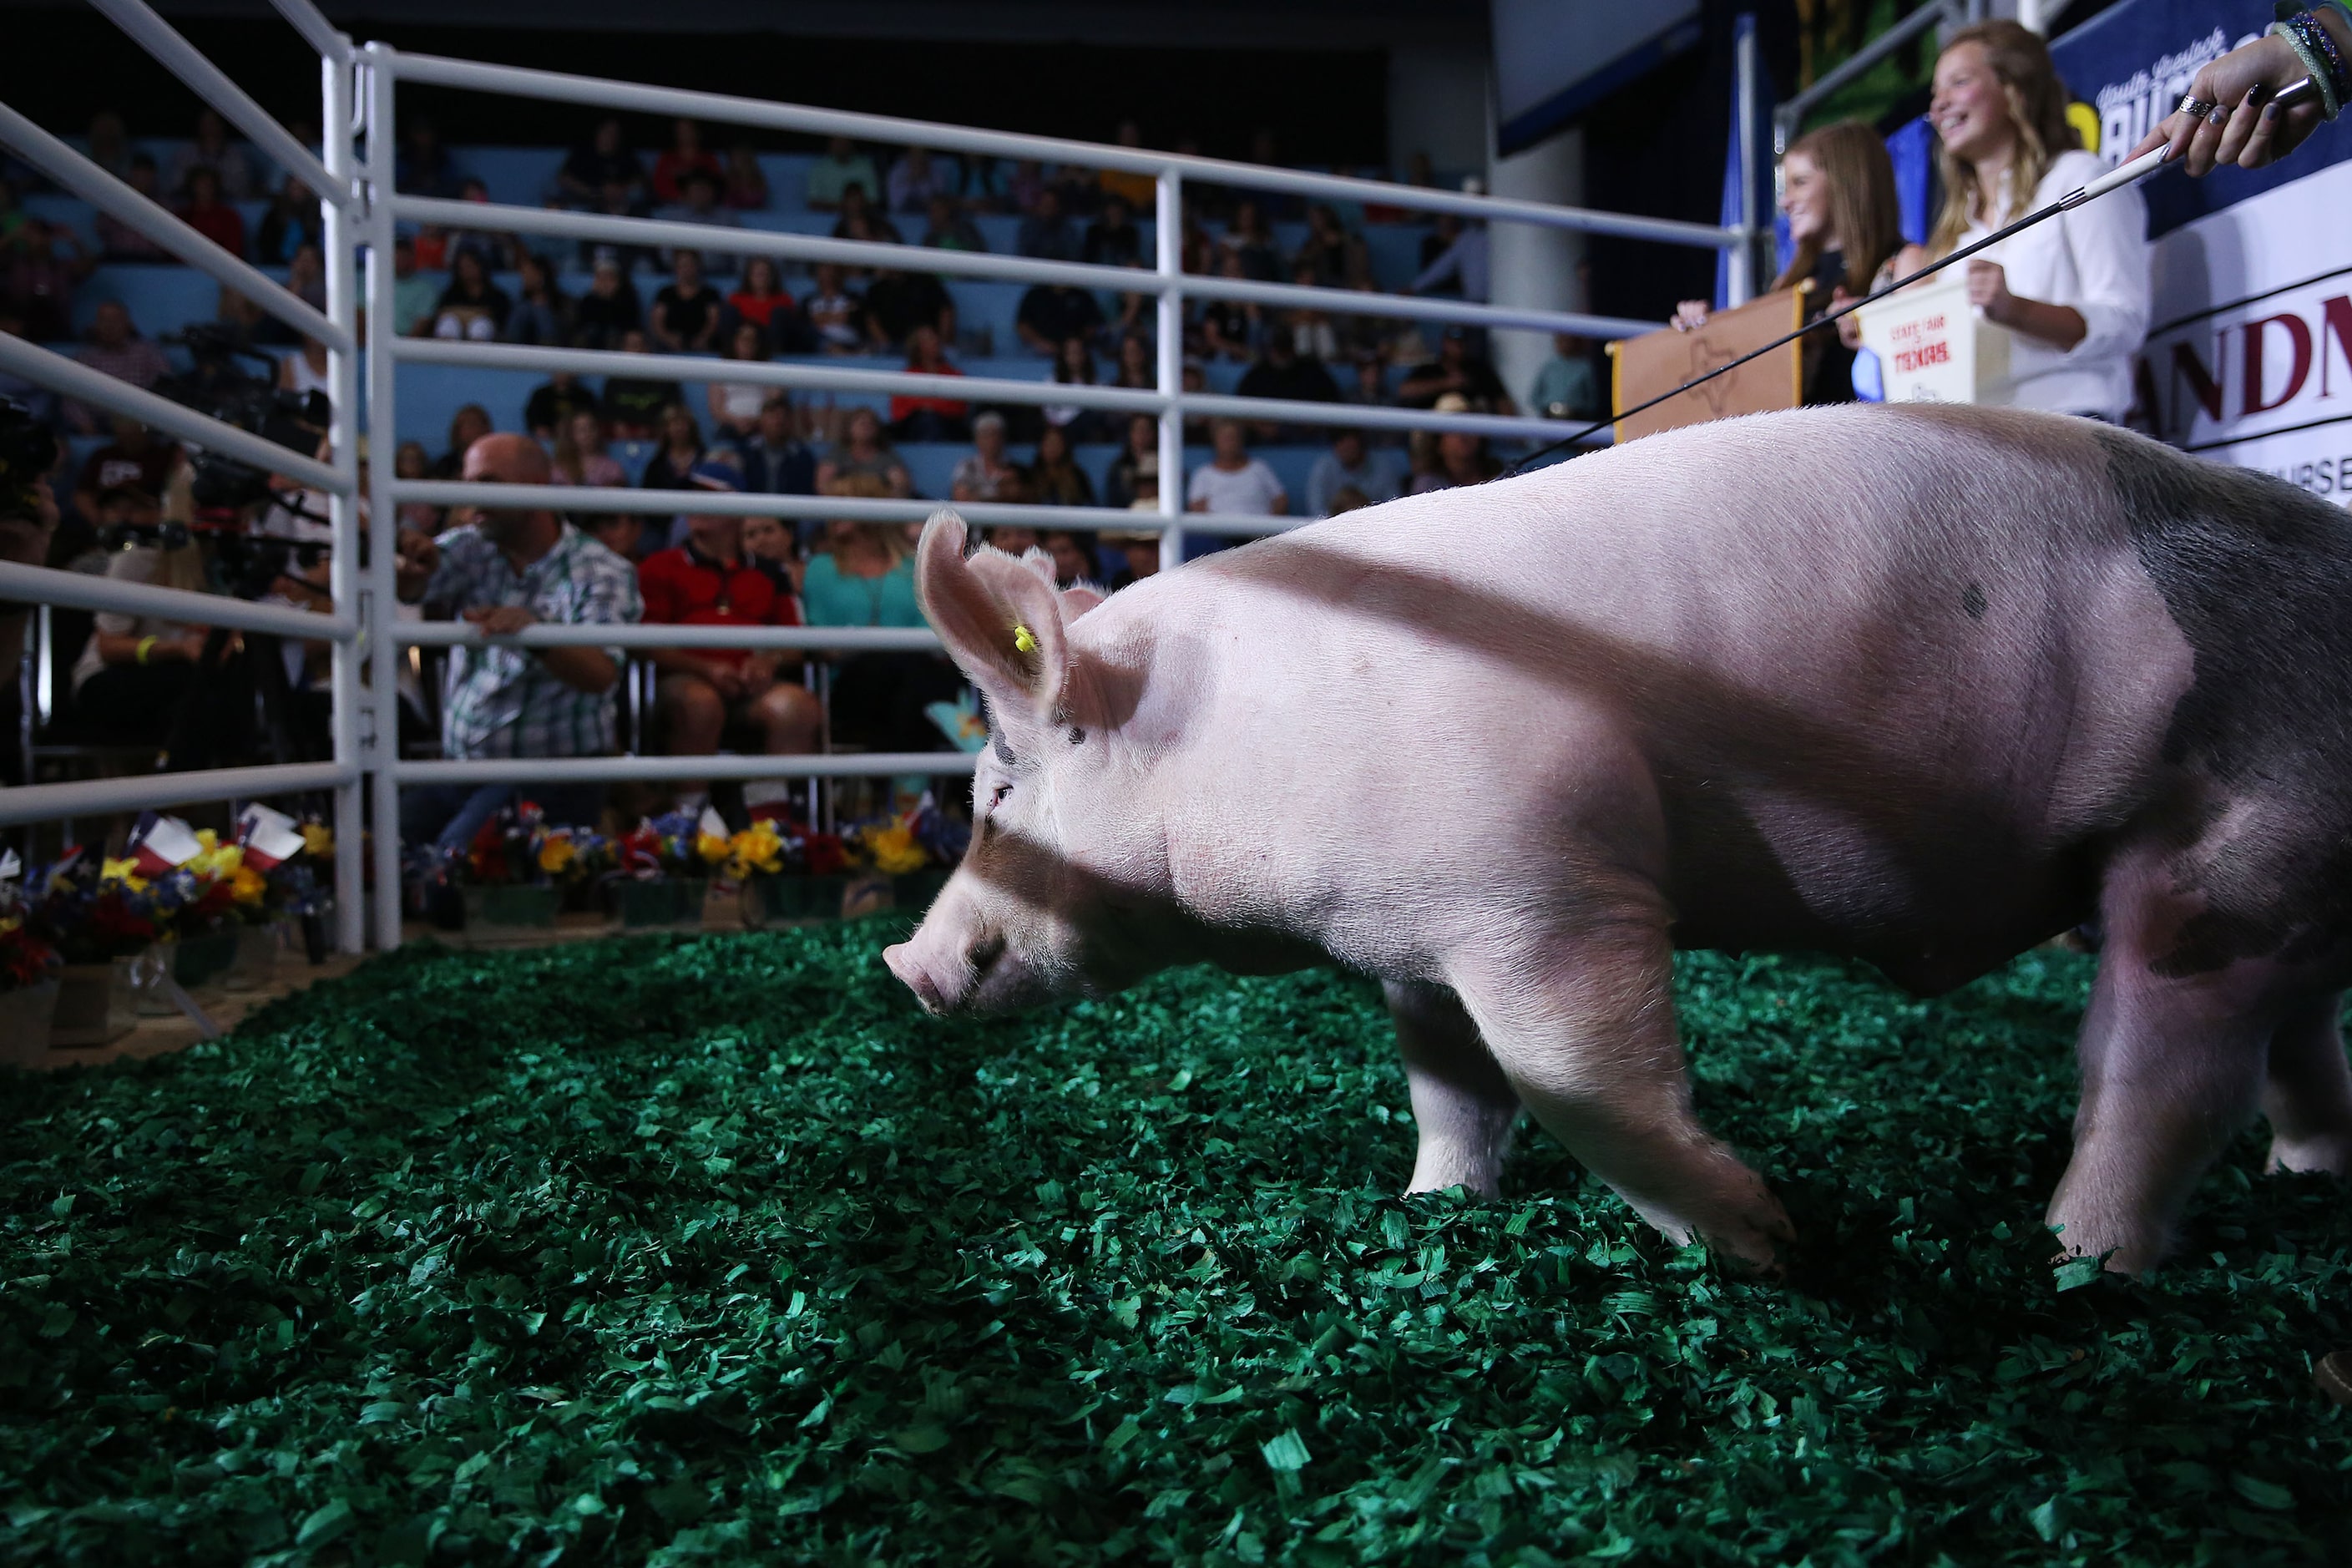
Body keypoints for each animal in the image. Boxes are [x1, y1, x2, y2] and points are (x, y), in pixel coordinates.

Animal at [884, 404, 2352, 1278]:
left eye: (998, 792)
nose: (905, 964)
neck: (1239, 740)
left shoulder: (1543, 888)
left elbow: (1575, 1079)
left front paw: (1767, 1244)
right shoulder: (1413, 940)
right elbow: (1449, 1087)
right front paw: (1432, 1208)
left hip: (2222, 852)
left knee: (2159, 1076)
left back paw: (2077, 1260)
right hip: (2282, 879)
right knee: (2294, 1041)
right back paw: (2304, 1175)